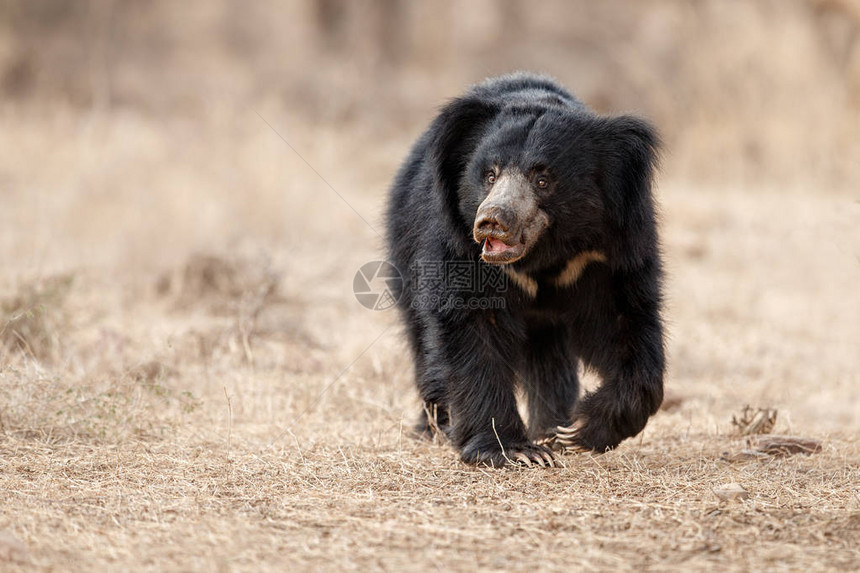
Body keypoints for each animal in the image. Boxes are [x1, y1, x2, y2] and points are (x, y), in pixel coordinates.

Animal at [388, 72, 664, 464]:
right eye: (489, 175)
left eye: (543, 179)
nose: (492, 222)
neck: (541, 256)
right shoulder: (457, 245)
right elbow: (473, 327)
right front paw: (514, 450)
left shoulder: (609, 250)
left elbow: (624, 321)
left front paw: (578, 430)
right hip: (404, 252)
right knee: (422, 340)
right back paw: (436, 426)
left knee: (549, 358)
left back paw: (551, 427)